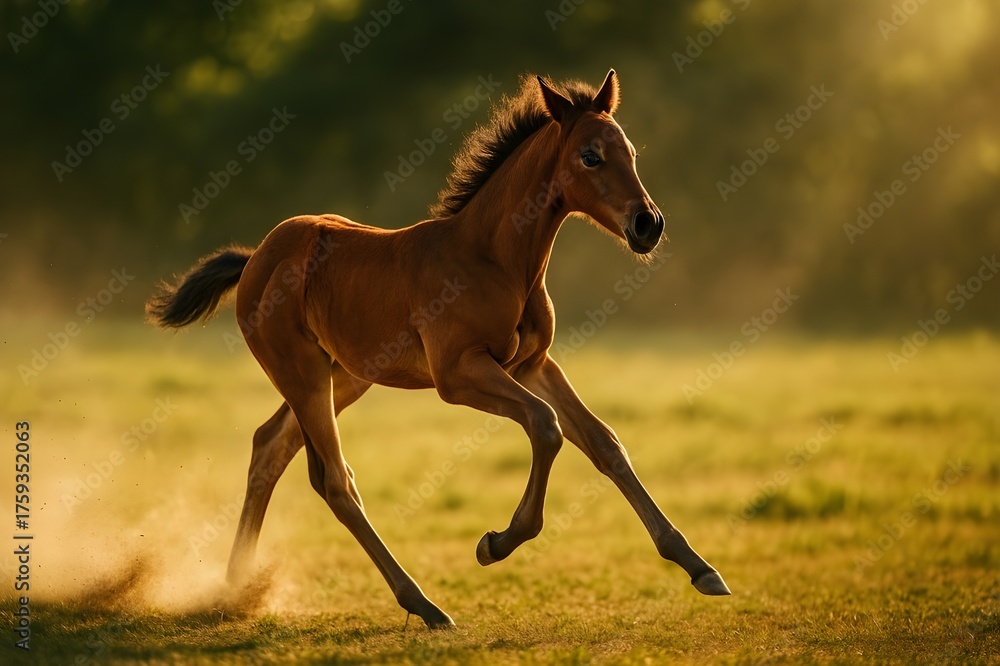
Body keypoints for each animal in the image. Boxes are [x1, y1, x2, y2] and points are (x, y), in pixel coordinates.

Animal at [147, 70, 730, 629]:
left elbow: (604, 442)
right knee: (335, 480)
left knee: (271, 446)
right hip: (303, 373)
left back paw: (234, 587)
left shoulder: (533, 364)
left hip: (344, 376)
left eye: (630, 151)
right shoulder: (457, 373)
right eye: (590, 156)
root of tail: (256, 260)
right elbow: (546, 425)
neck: (494, 258)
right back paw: (424, 605)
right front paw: (496, 543)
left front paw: (700, 567)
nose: (648, 224)